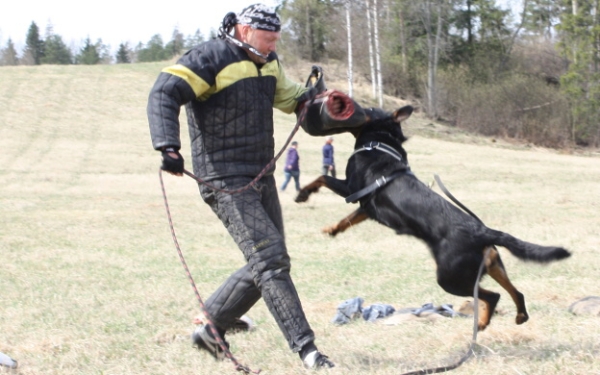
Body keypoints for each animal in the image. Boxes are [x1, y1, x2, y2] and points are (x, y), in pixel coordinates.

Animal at [296, 104, 572, 330]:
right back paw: (519, 316)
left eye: (370, 108)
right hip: (492, 266)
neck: (381, 142)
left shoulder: (351, 189)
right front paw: (332, 229)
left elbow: (322, 178)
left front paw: (302, 194)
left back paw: (482, 323)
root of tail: (483, 231)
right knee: (517, 293)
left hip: (450, 277)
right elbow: (346, 220)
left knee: (493, 296)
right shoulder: (365, 207)